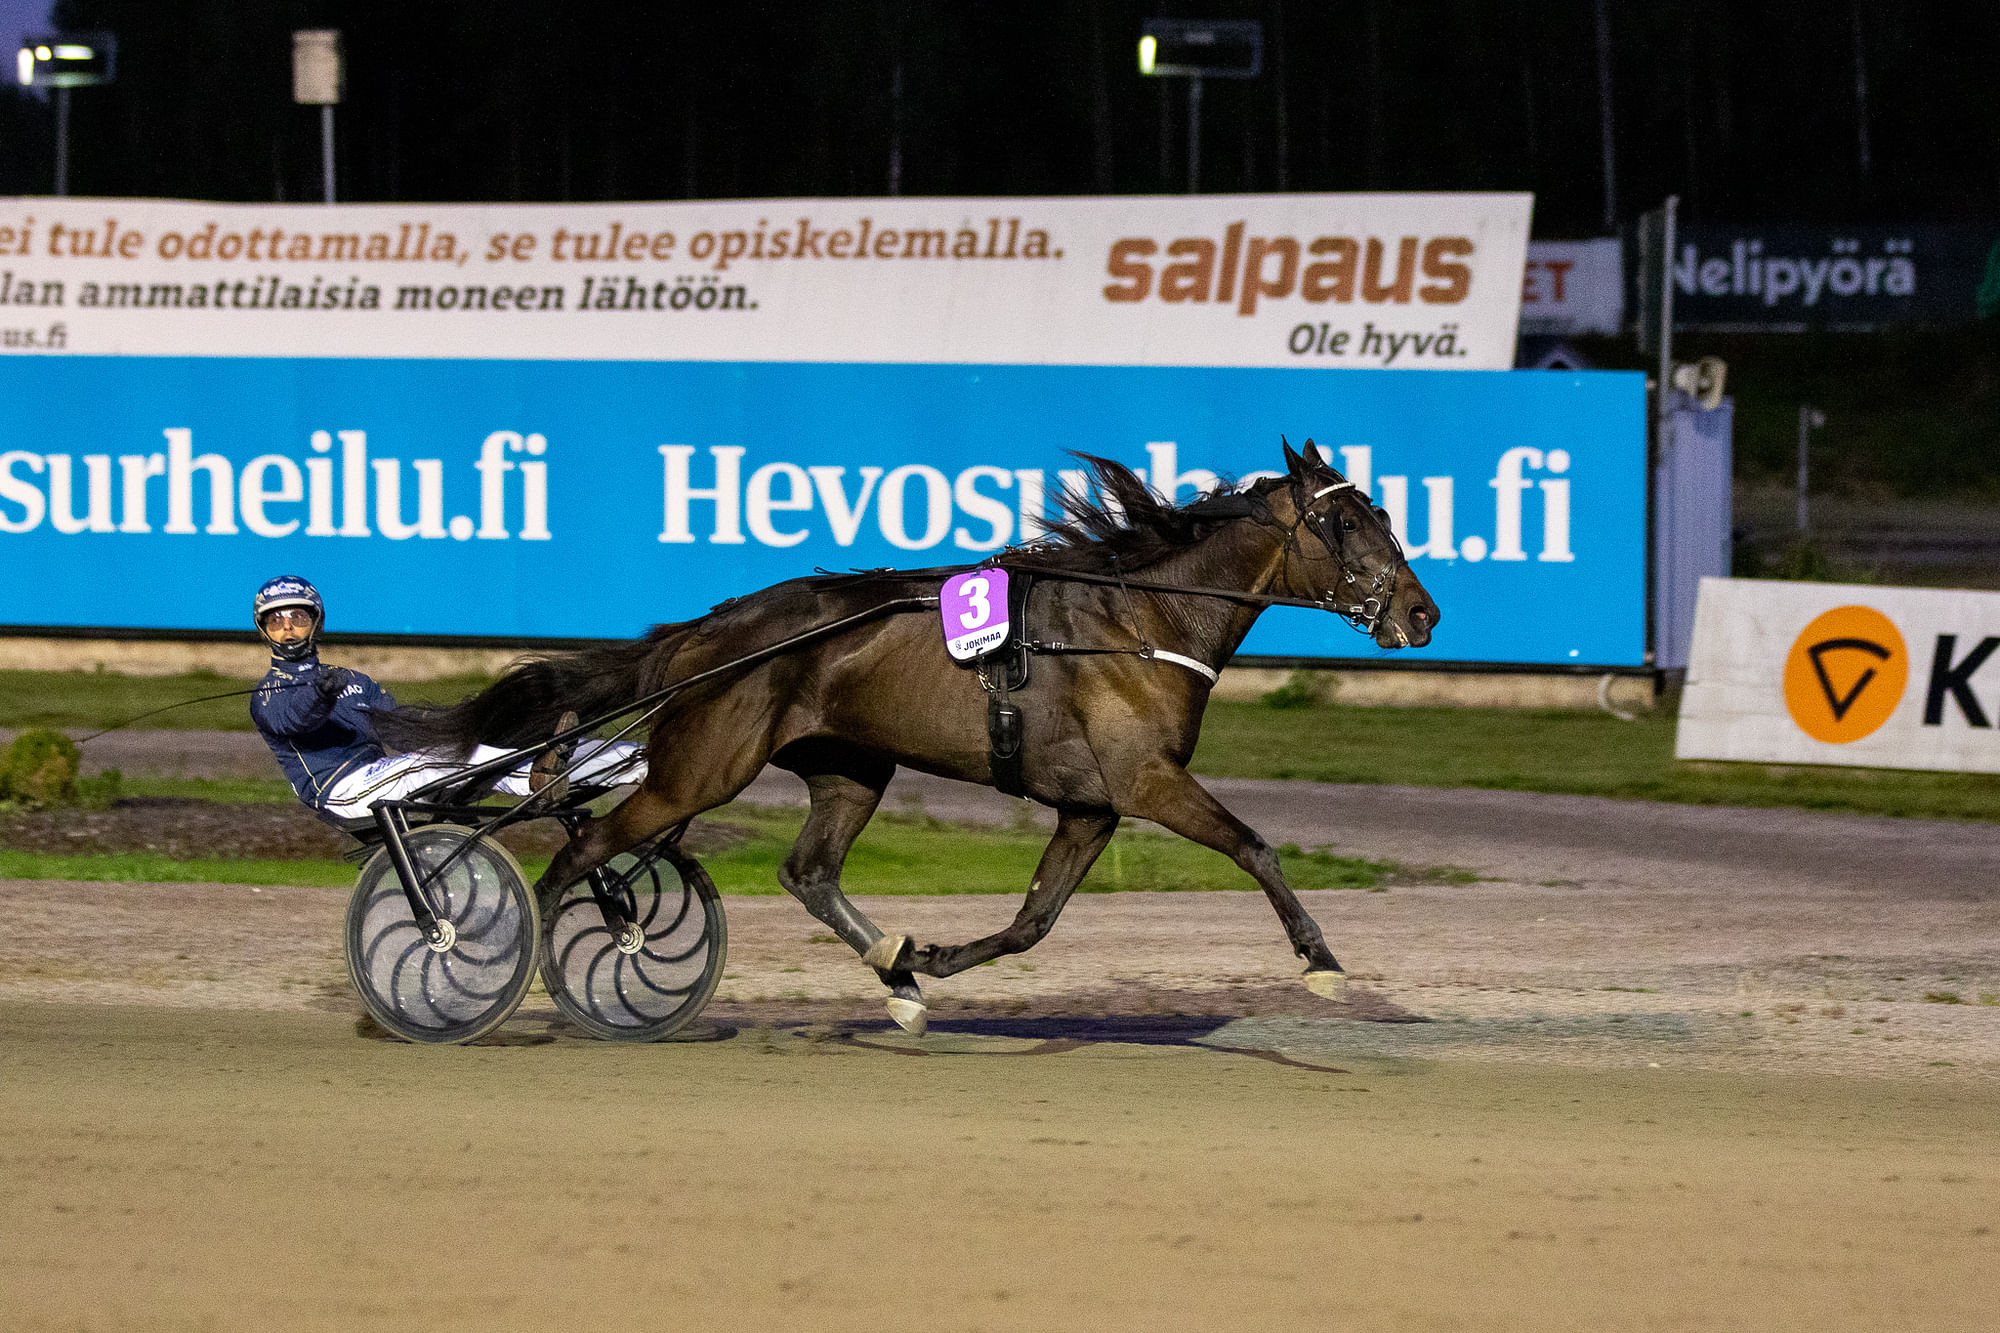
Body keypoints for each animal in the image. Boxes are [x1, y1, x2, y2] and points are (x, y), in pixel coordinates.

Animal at [378, 440, 1440, 1032]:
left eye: (1384, 511)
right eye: (1350, 525)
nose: (1423, 613)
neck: (1140, 621)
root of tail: (712, 631)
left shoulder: (1091, 805)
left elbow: (1032, 921)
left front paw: (923, 960)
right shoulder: (1146, 781)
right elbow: (1256, 846)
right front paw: (1323, 963)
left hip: (850, 766)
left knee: (806, 870)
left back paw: (892, 977)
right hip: (700, 770)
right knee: (583, 850)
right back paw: (505, 975)